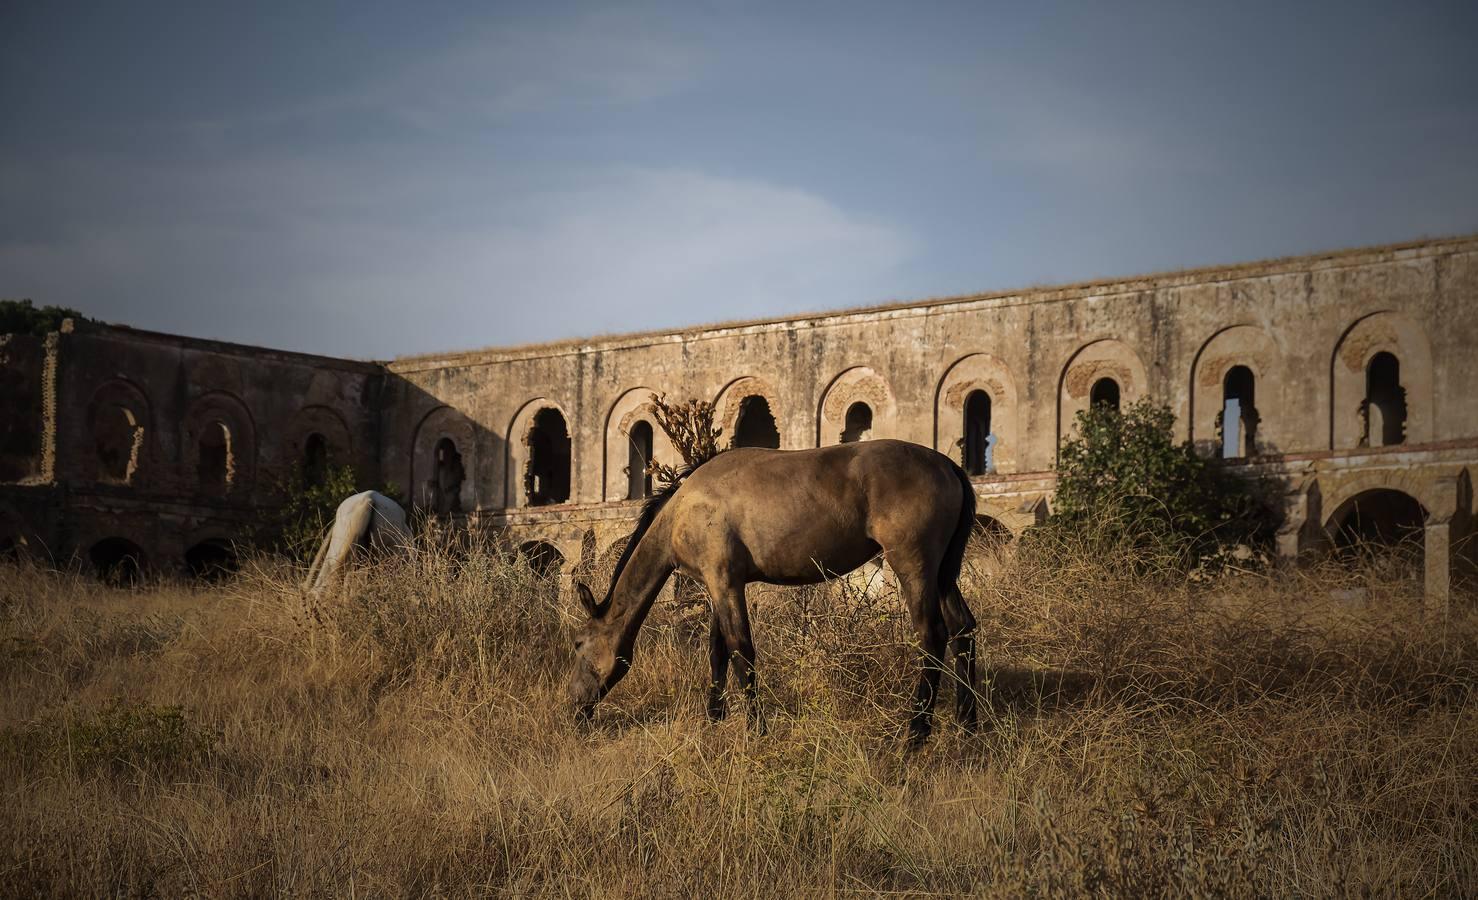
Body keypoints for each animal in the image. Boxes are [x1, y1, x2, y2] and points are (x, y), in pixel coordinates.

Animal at [570, 440, 975, 744]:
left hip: (914, 567)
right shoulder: (717, 587)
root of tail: (949, 466)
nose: (575, 709)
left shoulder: (725, 583)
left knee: (932, 636)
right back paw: (967, 723)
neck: (683, 510)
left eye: (578, 644)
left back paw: (916, 734)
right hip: (943, 576)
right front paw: (714, 718)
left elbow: (740, 651)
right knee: (963, 629)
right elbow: (717, 652)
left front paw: (756, 728)